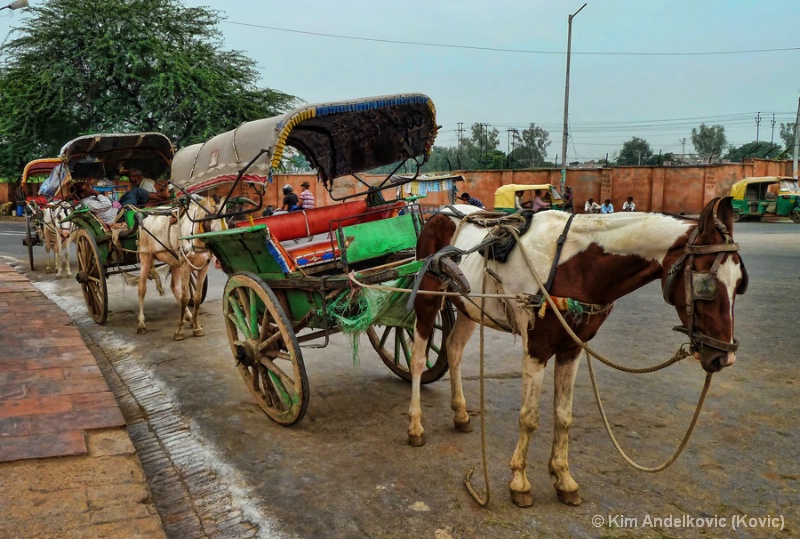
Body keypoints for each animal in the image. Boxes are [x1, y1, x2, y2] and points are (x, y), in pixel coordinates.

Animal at [136, 197, 227, 342]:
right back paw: (141, 323)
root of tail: (146, 217)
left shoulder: (203, 267)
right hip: (145, 257)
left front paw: (196, 327)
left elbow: (196, 297)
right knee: (141, 288)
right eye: (211, 230)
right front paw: (179, 331)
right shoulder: (185, 266)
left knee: (175, 288)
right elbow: (185, 297)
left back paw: (188, 317)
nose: (219, 262)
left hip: (174, 262)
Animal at [410, 196, 748, 508]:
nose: (723, 357)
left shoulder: (572, 348)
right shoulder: (536, 348)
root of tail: (438, 213)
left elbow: (564, 416)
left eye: (740, 284)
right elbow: (529, 417)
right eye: (706, 285)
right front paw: (519, 481)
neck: (576, 265)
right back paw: (415, 425)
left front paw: (563, 478)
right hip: (427, 297)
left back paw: (461, 413)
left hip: (470, 306)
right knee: (417, 359)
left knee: (453, 350)